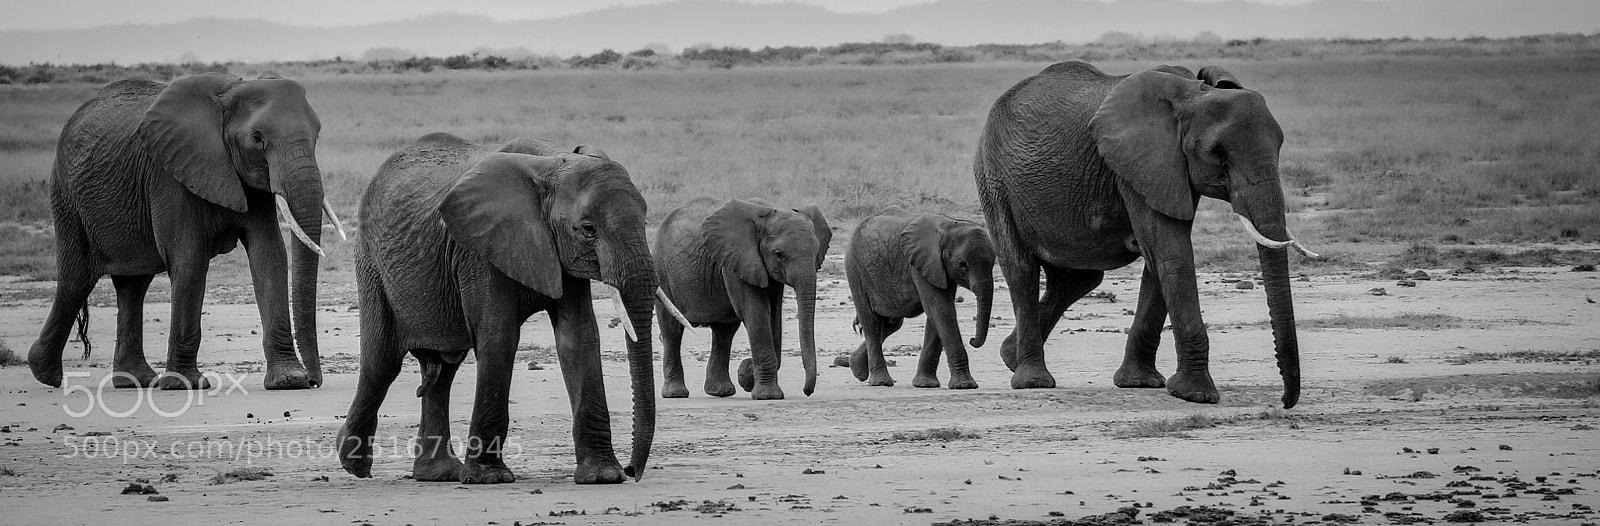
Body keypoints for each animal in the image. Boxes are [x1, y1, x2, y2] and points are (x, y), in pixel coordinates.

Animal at [28, 72, 338, 391]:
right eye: (257, 138)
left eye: (316, 135)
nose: (314, 381)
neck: (230, 94)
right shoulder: (171, 176)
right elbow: (190, 261)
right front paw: (185, 385)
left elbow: (269, 256)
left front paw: (289, 380)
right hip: (67, 199)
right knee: (76, 281)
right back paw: (45, 374)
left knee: (132, 286)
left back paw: (135, 380)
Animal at [335, 133, 679, 484]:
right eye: (587, 229)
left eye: (645, 218)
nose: (632, 470)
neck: (551, 165)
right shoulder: (479, 248)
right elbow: (499, 336)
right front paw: (489, 478)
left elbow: (578, 337)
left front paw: (602, 476)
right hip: (371, 263)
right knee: (382, 363)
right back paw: (354, 463)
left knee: (443, 369)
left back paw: (437, 473)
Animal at [654, 197, 831, 400]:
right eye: (779, 254)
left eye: (817, 251)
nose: (807, 392)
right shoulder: (738, 261)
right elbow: (756, 313)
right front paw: (767, 396)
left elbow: (774, 315)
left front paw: (750, 379)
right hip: (662, 272)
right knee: (671, 331)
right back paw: (675, 394)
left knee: (724, 332)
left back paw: (720, 392)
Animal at [845, 207, 996, 389]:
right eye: (962, 264)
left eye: (994, 263)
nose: (973, 340)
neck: (949, 226)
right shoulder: (920, 264)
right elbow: (942, 310)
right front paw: (964, 385)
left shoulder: (938, 267)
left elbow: (936, 314)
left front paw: (926, 384)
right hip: (855, 270)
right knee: (871, 322)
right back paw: (881, 382)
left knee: (891, 323)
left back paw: (856, 368)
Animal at [974, 61, 1316, 408]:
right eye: (1219, 155)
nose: (1285, 402)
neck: (1192, 95)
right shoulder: (1137, 165)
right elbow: (1171, 252)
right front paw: (1196, 395)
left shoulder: (1170, 171)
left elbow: (1159, 261)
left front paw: (1140, 383)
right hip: (993, 179)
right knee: (1021, 269)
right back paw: (1032, 380)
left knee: (1078, 279)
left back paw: (1009, 356)